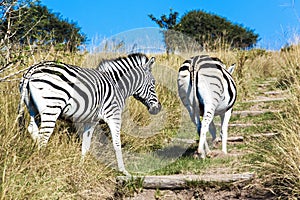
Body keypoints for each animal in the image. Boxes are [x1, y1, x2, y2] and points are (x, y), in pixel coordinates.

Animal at [17, 52, 162, 175]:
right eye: (153, 83)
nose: (158, 108)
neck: (118, 86)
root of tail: (33, 69)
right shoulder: (114, 115)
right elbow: (117, 143)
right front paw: (123, 171)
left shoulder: (91, 120)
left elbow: (86, 145)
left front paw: (80, 167)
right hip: (52, 107)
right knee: (43, 136)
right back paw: (44, 161)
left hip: (33, 108)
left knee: (32, 129)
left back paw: (38, 156)